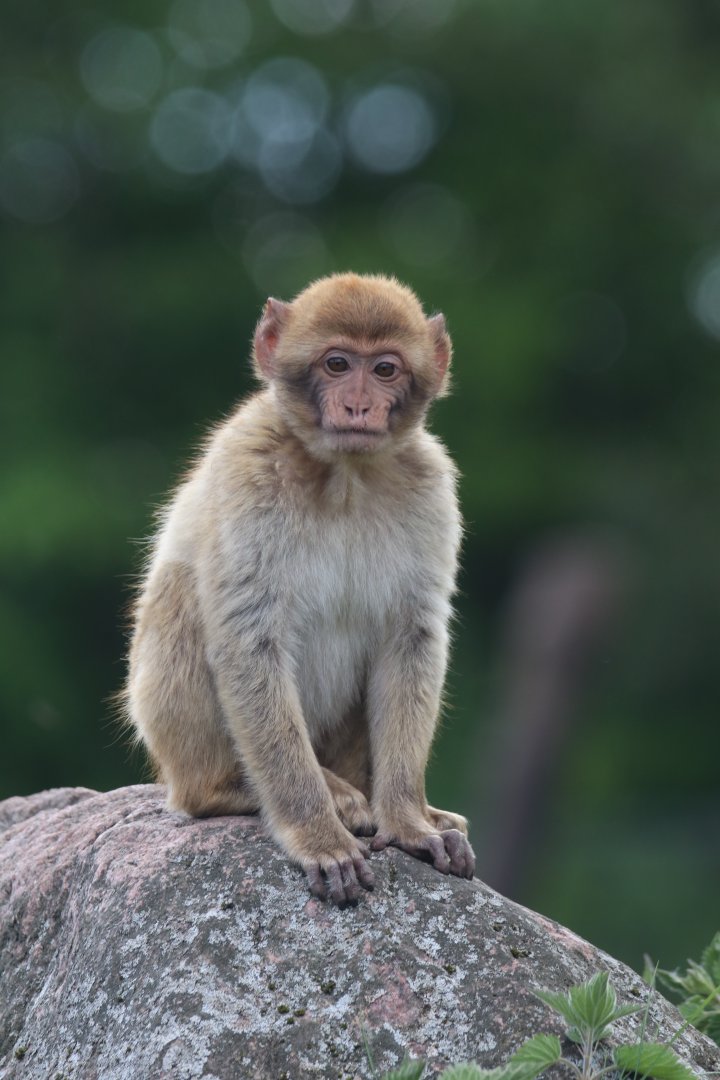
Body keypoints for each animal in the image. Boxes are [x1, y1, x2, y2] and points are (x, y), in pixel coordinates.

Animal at [125, 272, 475, 906]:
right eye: (337, 363)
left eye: (384, 369)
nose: (358, 404)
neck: (344, 474)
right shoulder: (246, 467)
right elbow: (249, 641)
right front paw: (317, 833)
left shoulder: (432, 486)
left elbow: (410, 635)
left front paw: (408, 820)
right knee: (182, 593)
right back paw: (242, 790)